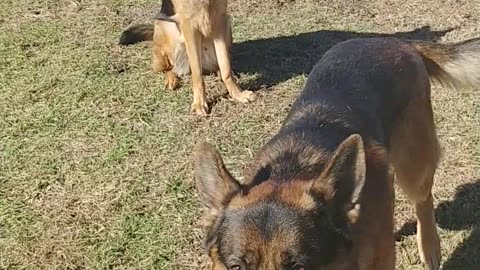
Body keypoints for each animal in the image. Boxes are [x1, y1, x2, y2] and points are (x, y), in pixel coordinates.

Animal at [119, 0, 255, 115]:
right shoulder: (190, 25)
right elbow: (197, 75)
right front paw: (199, 103)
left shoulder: (219, 20)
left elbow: (225, 66)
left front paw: (238, 94)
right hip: (166, 26)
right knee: (168, 69)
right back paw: (171, 79)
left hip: (227, 24)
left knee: (217, 66)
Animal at [193, 36, 480, 270]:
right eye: (236, 267)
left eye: (299, 268)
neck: (292, 169)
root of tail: (397, 41)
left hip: (413, 167)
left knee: (423, 199)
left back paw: (430, 248)